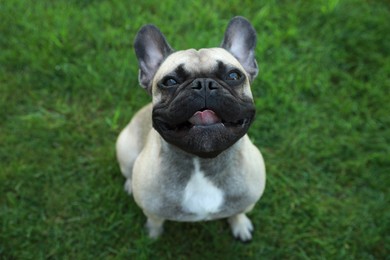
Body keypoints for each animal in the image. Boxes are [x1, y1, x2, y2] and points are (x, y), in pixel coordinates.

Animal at [116, 16, 266, 242]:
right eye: (169, 81)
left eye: (233, 75)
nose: (203, 84)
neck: (202, 161)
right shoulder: (151, 209)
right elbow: (155, 220)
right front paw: (153, 234)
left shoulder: (248, 200)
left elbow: (238, 212)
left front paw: (240, 225)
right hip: (125, 147)